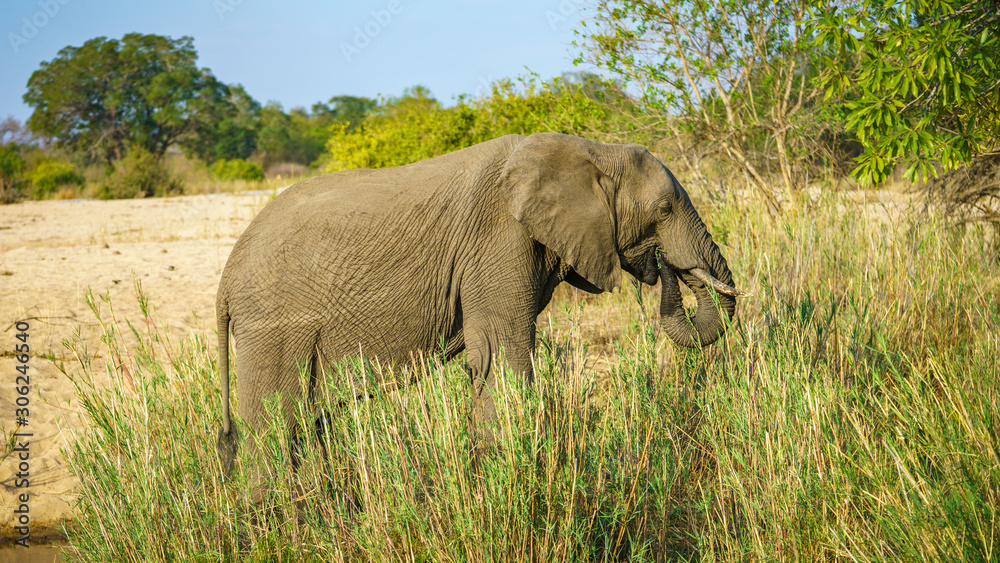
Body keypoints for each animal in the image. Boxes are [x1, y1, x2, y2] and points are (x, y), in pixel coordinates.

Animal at [215, 132, 745, 481]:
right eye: (663, 211)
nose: (666, 267)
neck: (591, 150)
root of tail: (225, 279)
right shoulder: (498, 241)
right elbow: (500, 354)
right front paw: (505, 473)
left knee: (305, 426)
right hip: (274, 324)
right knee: (275, 427)